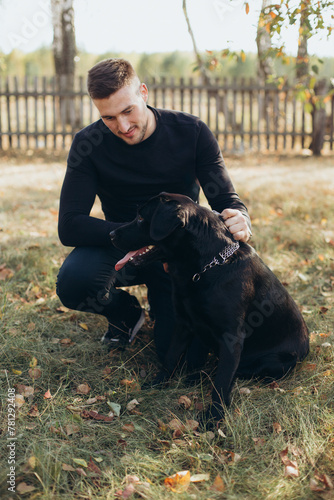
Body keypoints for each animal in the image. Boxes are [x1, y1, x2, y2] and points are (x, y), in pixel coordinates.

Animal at [110, 191, 310, 422]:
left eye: (142, 217)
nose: (111, 234)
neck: (206, 267)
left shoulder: (232, 338)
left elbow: (222, 383)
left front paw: (214, 418)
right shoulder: (183, 323)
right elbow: (170, 357)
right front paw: (157, 383)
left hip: (275, 361)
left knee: (235, 371)